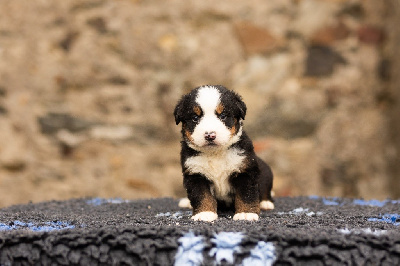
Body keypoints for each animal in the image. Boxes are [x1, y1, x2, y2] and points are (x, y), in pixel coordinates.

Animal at [173, 84, 274, 221]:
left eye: (223, 115)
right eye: (195, 118)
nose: (210, 135)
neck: (215, 153)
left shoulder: (245, 170)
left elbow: (246, 194)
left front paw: (245, 213)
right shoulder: (195, 174)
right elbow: (201, 195)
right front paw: (204, 213)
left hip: (267, 173)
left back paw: (265, 203)